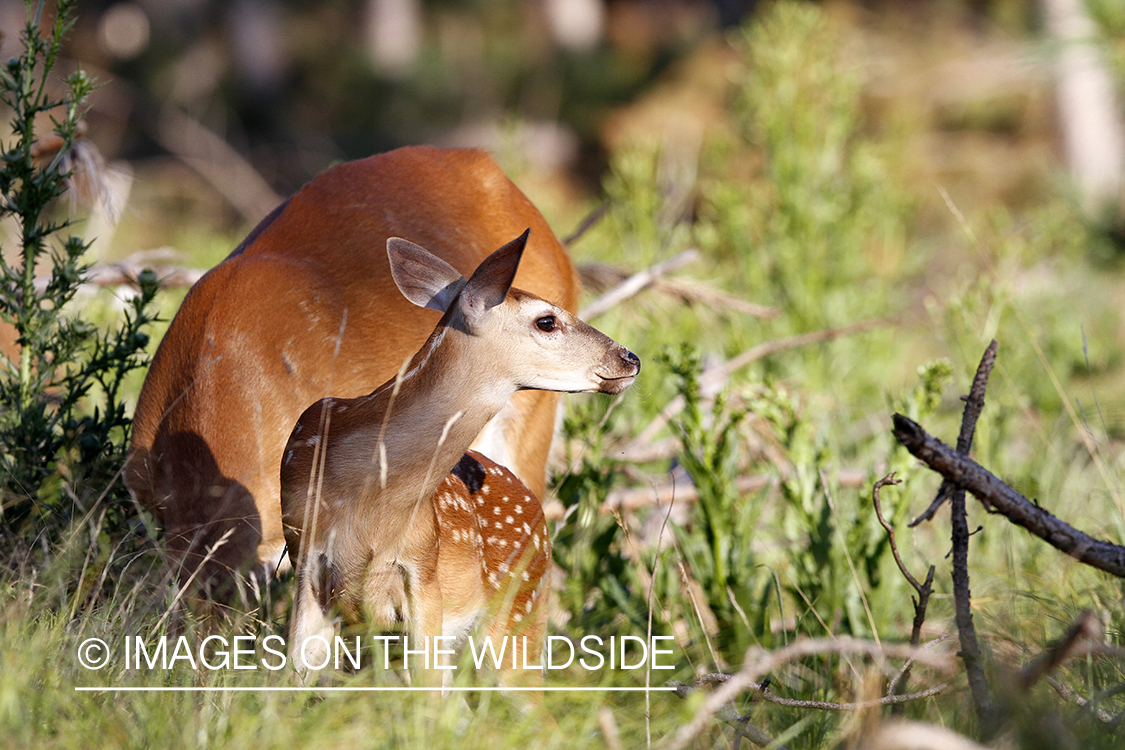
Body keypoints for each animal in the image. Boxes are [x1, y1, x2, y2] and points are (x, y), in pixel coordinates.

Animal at [276, 230, 639, 692]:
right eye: (546, 321)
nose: (630, 358)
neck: (368, 500)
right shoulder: (306, 556)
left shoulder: (423, 570)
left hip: (520, 614)